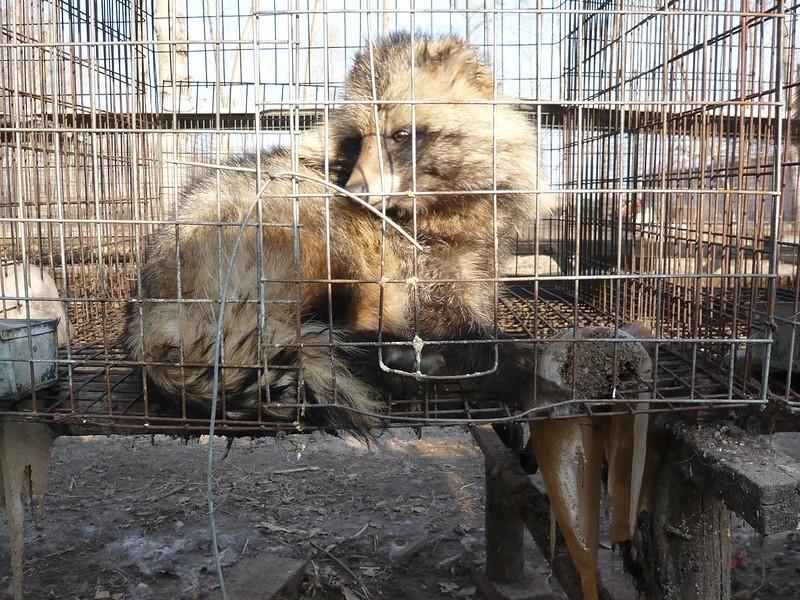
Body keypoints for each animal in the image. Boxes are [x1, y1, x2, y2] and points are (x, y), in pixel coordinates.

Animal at [125, 32, 552, 434]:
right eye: (357, 140)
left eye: (400, 135)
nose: (355, 192)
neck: (437, 212)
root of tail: (148, 314)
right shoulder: (413, 276)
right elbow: (465, 338)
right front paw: (518, 375)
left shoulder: (470, 267)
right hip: (303, 244)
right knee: (321, 333)